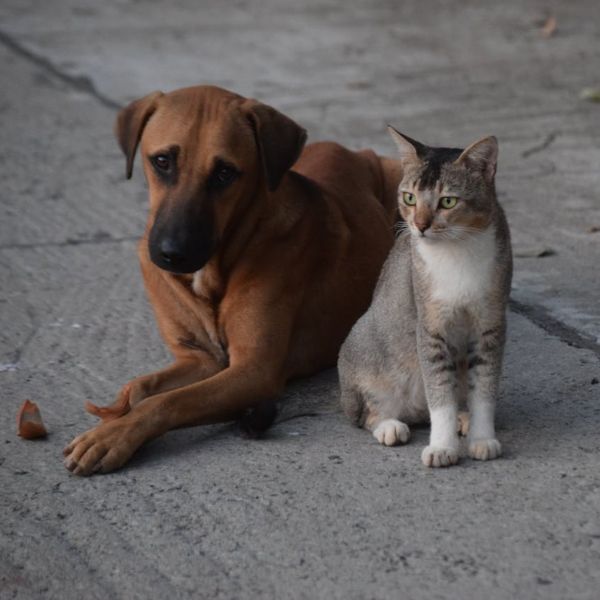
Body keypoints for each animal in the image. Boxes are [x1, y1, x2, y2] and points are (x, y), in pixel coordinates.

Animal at [63, 85, 402, 475]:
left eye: (225, 172)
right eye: (162, 161)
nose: (172, 254)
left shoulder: (253, 369)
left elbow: (169, 401)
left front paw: (114, 436)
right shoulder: (200, 359)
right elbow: (143, 386)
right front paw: (116, 415)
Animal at [338, 127, 512, 467]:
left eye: (447, 201)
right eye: (409, 198)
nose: (419, 225)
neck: (457, 250)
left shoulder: (491, 325)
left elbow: (484, 390)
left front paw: (482, 438)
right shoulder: (430, 327)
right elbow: (439, 393)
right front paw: (442, 447)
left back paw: (463, 417)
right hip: (364, 349)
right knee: (368, 414)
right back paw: (390, 426)